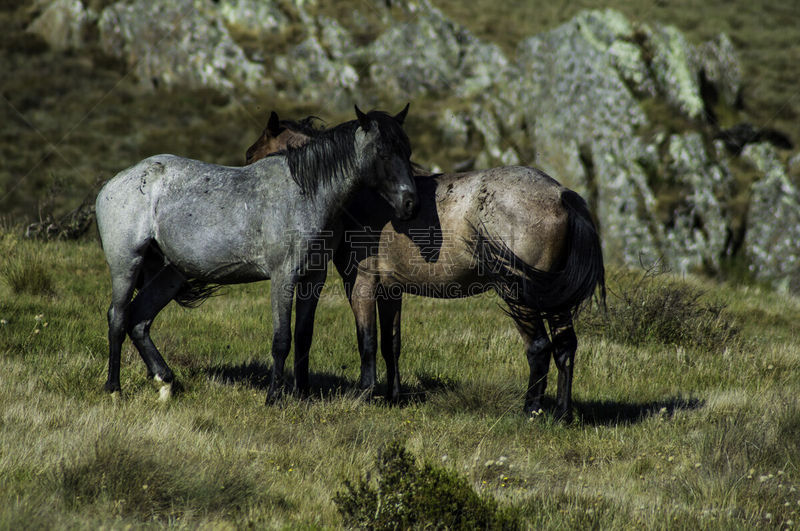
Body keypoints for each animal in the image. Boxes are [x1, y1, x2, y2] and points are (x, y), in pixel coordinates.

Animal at [97, 106, 416, 402]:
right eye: (382, 152)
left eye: (407, 150)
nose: (410, 202)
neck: (304, 194)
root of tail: (113, 184)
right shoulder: (283, 277)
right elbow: (282, 340)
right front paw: (274, 396)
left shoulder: (313, 279)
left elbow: (304, 337)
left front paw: (302, 394)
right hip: (126, 263)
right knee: (118, 318)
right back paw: (114, 390)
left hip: (170, 274)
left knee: (139, 321)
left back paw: (164, 383)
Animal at [247, 114, 604, 422]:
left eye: (255, 153)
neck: (364, 194)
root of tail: (561, 195)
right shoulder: (391, 290)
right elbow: (391, 344)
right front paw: (393, 396)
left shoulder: (360, 283)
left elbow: (367, 340)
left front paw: (364, 394)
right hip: (554, 299)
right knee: (565, 347)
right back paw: (562, 414)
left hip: (522, 297)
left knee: (539, 348)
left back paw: (531, 410)